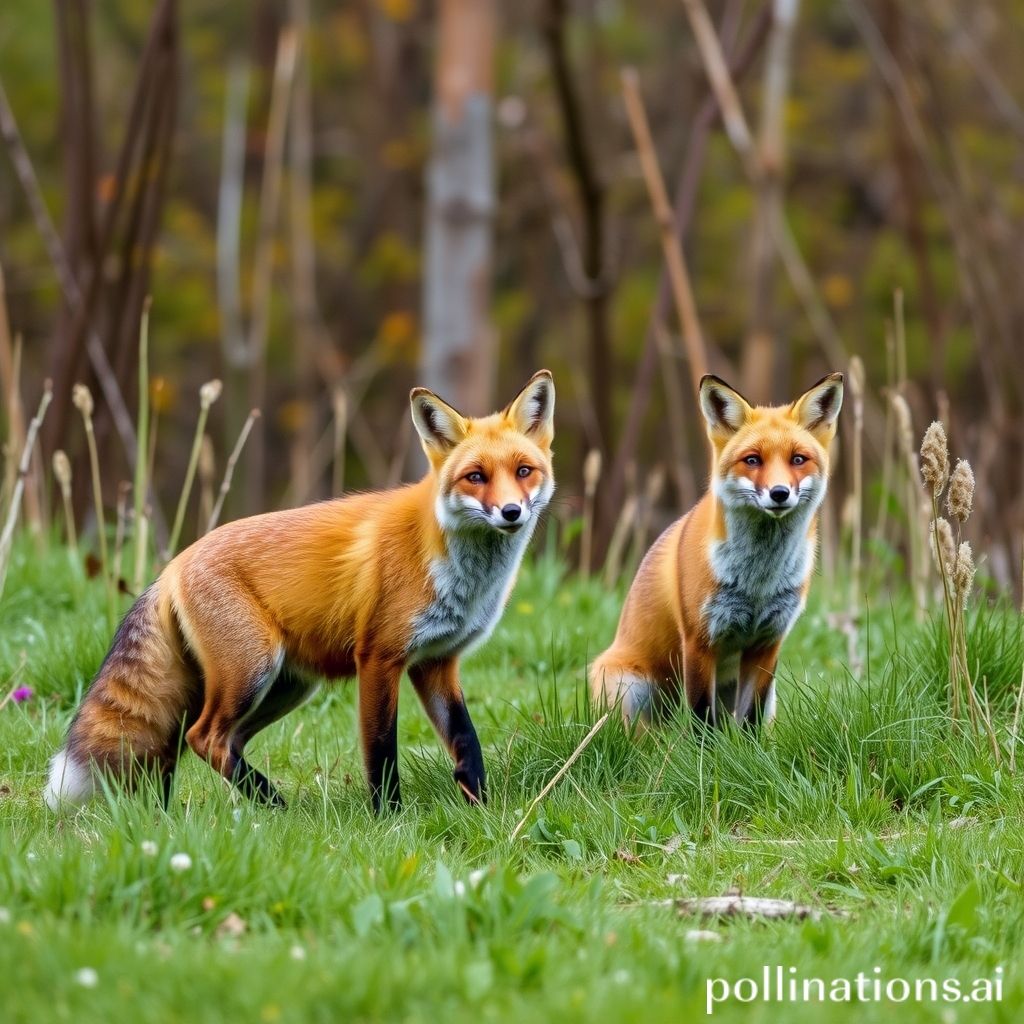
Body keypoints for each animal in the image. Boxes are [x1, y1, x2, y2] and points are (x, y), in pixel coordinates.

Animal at [45, 370, 556, 814]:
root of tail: (171, 566)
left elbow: (466, 741)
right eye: (476, 477)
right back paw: (274, 803)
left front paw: (483, 810)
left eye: (523, 471)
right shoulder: (379, 657)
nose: (511, 512)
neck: (458, 571)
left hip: (286, 687)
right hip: (252, 670)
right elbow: (381, 752)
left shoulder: (436, 661)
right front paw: (389, 820)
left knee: (207, 741)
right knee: (203, 737)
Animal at [590, 371, 843, 730]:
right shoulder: (699, 641)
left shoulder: (767, 643)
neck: (758, 581)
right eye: (752, 460)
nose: (779, 493)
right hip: (631, 691)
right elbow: (701, 721)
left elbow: (750, 721)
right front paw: (702, 748)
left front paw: (750, 748)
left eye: (798, 459)